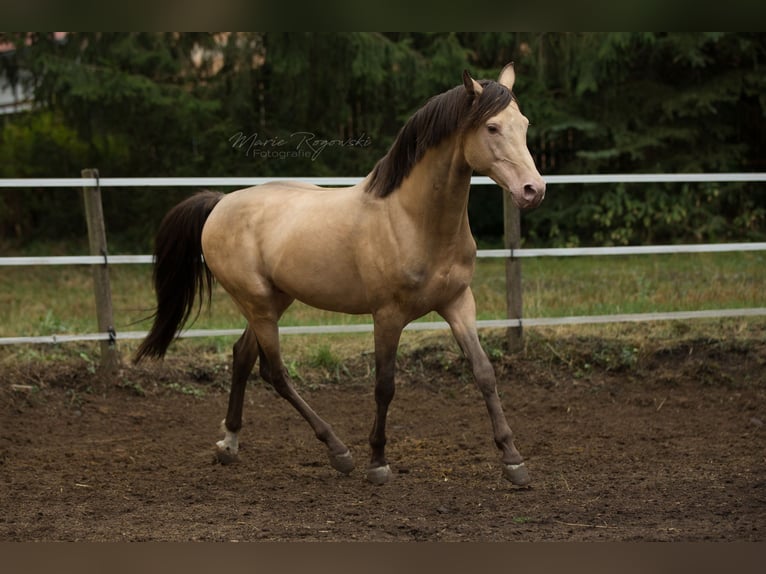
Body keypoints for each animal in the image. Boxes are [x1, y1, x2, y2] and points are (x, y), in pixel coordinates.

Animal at [134, 63, 545, 486]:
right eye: (492, 127)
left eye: (524, 124)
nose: (533, 190)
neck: (412, 220)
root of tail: (219, 203)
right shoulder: (387, 316)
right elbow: (384, 385)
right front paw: (377, 462)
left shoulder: (458, 303)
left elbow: (484, 372)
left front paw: (513, 459)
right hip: (257, 303)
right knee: (274, 371)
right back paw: (338, 451)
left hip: (274, 300)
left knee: (243, 356)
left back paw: (229, 443)